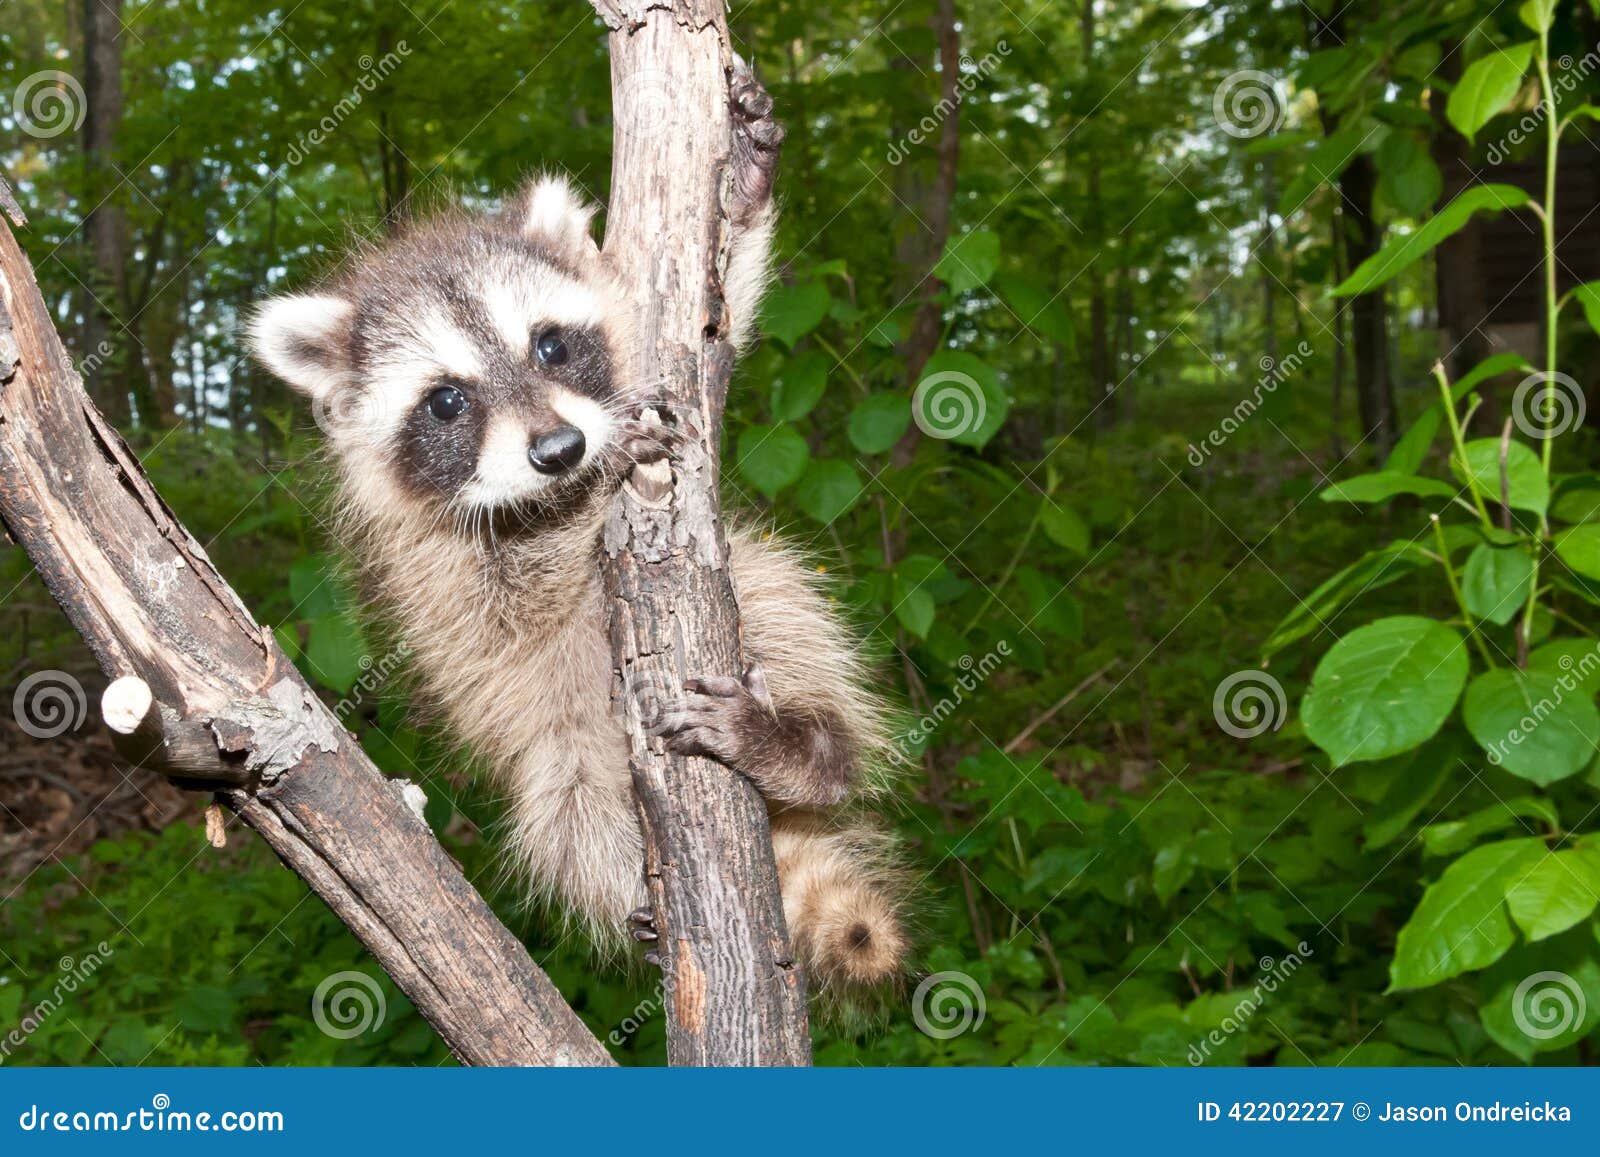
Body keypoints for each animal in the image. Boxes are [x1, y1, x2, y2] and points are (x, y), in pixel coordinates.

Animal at [247, 121, 908, 999]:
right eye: (447, 400)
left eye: (551, 345)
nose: (561, 450)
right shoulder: (429, 570)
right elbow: (510, 602)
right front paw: (586, 489)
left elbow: (714, 321)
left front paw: (744, 193)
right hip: (563, 744)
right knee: (571, 812)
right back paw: (638, 898)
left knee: (776, 590)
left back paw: (808, 748)